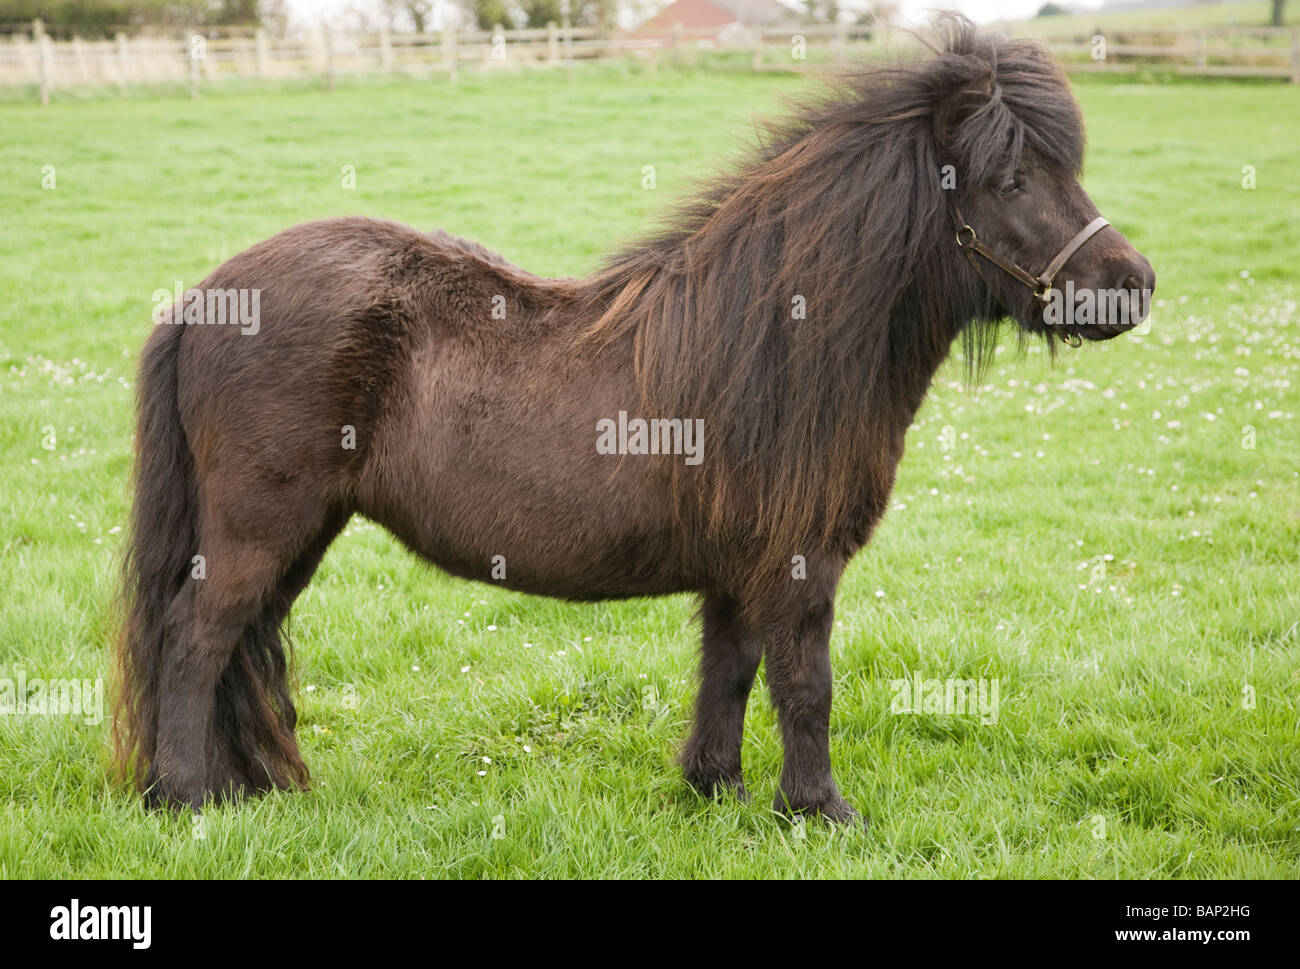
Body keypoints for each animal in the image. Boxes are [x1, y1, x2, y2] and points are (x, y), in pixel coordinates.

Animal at [114, 16, 1155, 822]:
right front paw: (820, 808)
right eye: (1011, 180)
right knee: (197, 638)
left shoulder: (741, 569)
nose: (1133, 284)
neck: (781, 334)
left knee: (239, 645)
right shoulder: (798, 563)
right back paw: (186, 798)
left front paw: (719, 790)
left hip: (301, 533)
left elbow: (730, 671)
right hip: (260, 527)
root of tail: (206, 295)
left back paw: (244, 787)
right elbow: (806, 684)